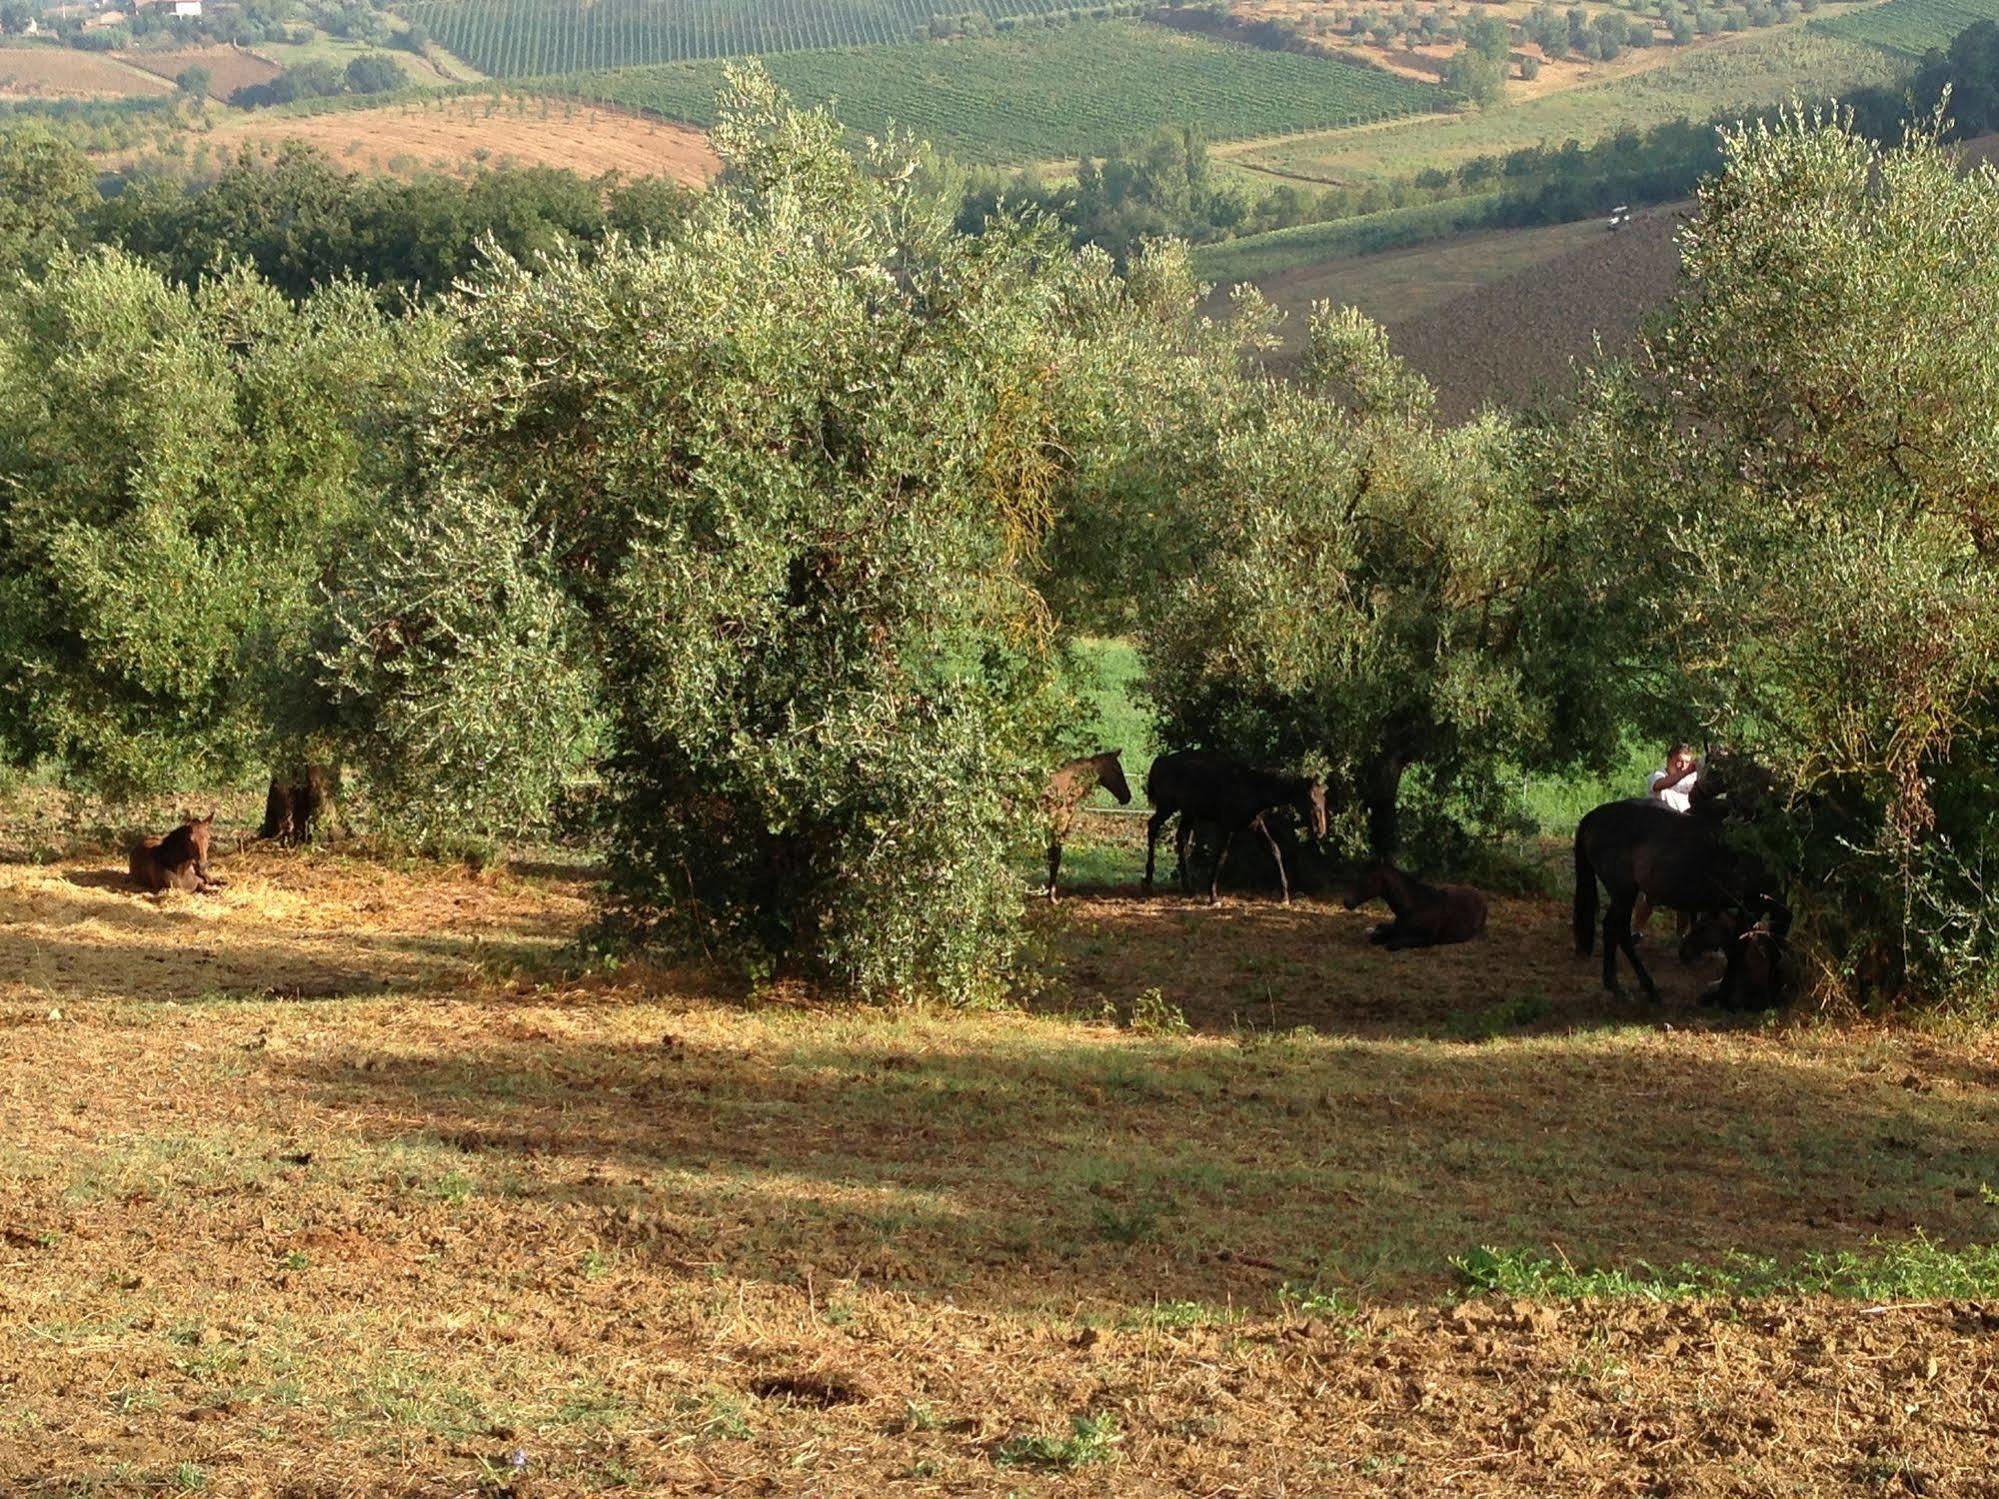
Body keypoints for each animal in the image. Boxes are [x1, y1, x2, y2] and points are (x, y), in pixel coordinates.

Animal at [1039, 755, 1135, 899]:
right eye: (1118, 770)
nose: (1127, 796)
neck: (1066, 788)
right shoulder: (1058, 825)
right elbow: (1055, 857)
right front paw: (1052, 896)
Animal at [1143, 751, 1327, 903]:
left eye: (1323, 800)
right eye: (1312, 800)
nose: (1320, 830)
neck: (1251, 788)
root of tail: (1160, 760)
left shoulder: (1256, 825)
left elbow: (1274, 850)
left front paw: (1284, 896)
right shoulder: (1227, 827)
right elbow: (1221, 857)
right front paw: (1213, 896)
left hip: (1188, 813)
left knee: (1181, 839)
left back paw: (1188, 888)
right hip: (1167, 807)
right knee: (1153, 827)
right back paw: (1149, 881)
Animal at [1343, 855, 1487, 951]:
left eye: (1368, 879)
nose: (1346, 902)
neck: (1415, 905)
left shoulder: (1426, 940)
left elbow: (1391, 944)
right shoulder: (1397, 929)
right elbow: (1378, 938)